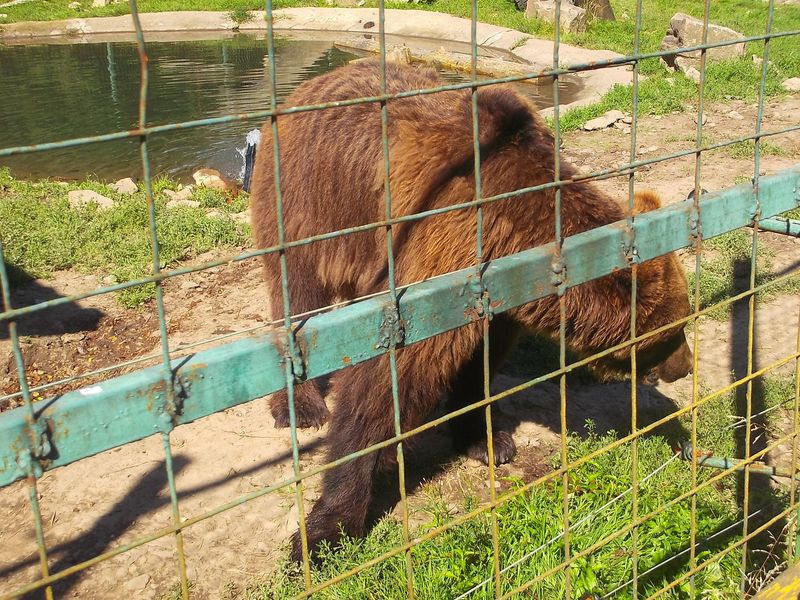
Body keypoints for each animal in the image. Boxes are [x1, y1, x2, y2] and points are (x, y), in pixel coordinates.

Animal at [248, 59, 693, 562]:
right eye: (674, 330)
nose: (685, 365)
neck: (516, 240)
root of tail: (312, 83)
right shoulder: (440, 246)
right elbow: (385, 381)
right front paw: (328, 529)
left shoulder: (495, 298)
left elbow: (478, 361)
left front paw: (488, 439)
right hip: (308, 204)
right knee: (297, 301)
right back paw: (300, 406)